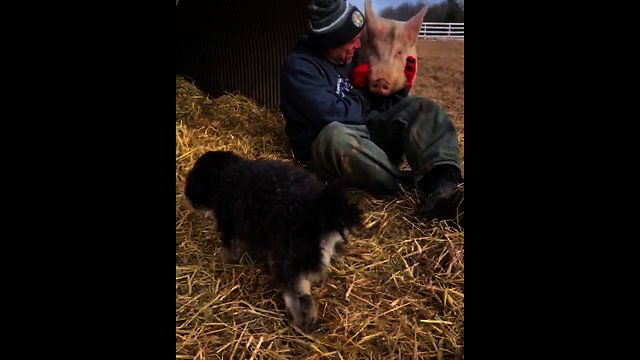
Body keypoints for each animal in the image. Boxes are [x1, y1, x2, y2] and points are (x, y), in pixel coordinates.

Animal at [186, 150, 364, 332]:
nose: (189, 198)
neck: (228, 172)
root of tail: (320, 214)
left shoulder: (228, 222)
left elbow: (231, 248)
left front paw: (229, 262)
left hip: (289, 263)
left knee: (300, 299)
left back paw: (302, 324)